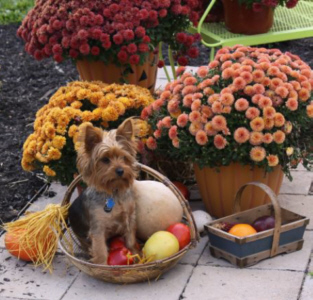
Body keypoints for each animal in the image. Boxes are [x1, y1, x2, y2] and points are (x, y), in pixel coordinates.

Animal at [68, 118, 139, 264]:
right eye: (105, 160)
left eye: (124, 158)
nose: (120, 170)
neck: (114, 192)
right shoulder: (98, 229)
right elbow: (100, 251)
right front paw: (102, 265)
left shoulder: (130, 217)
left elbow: (130, 240)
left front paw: (135, 254)